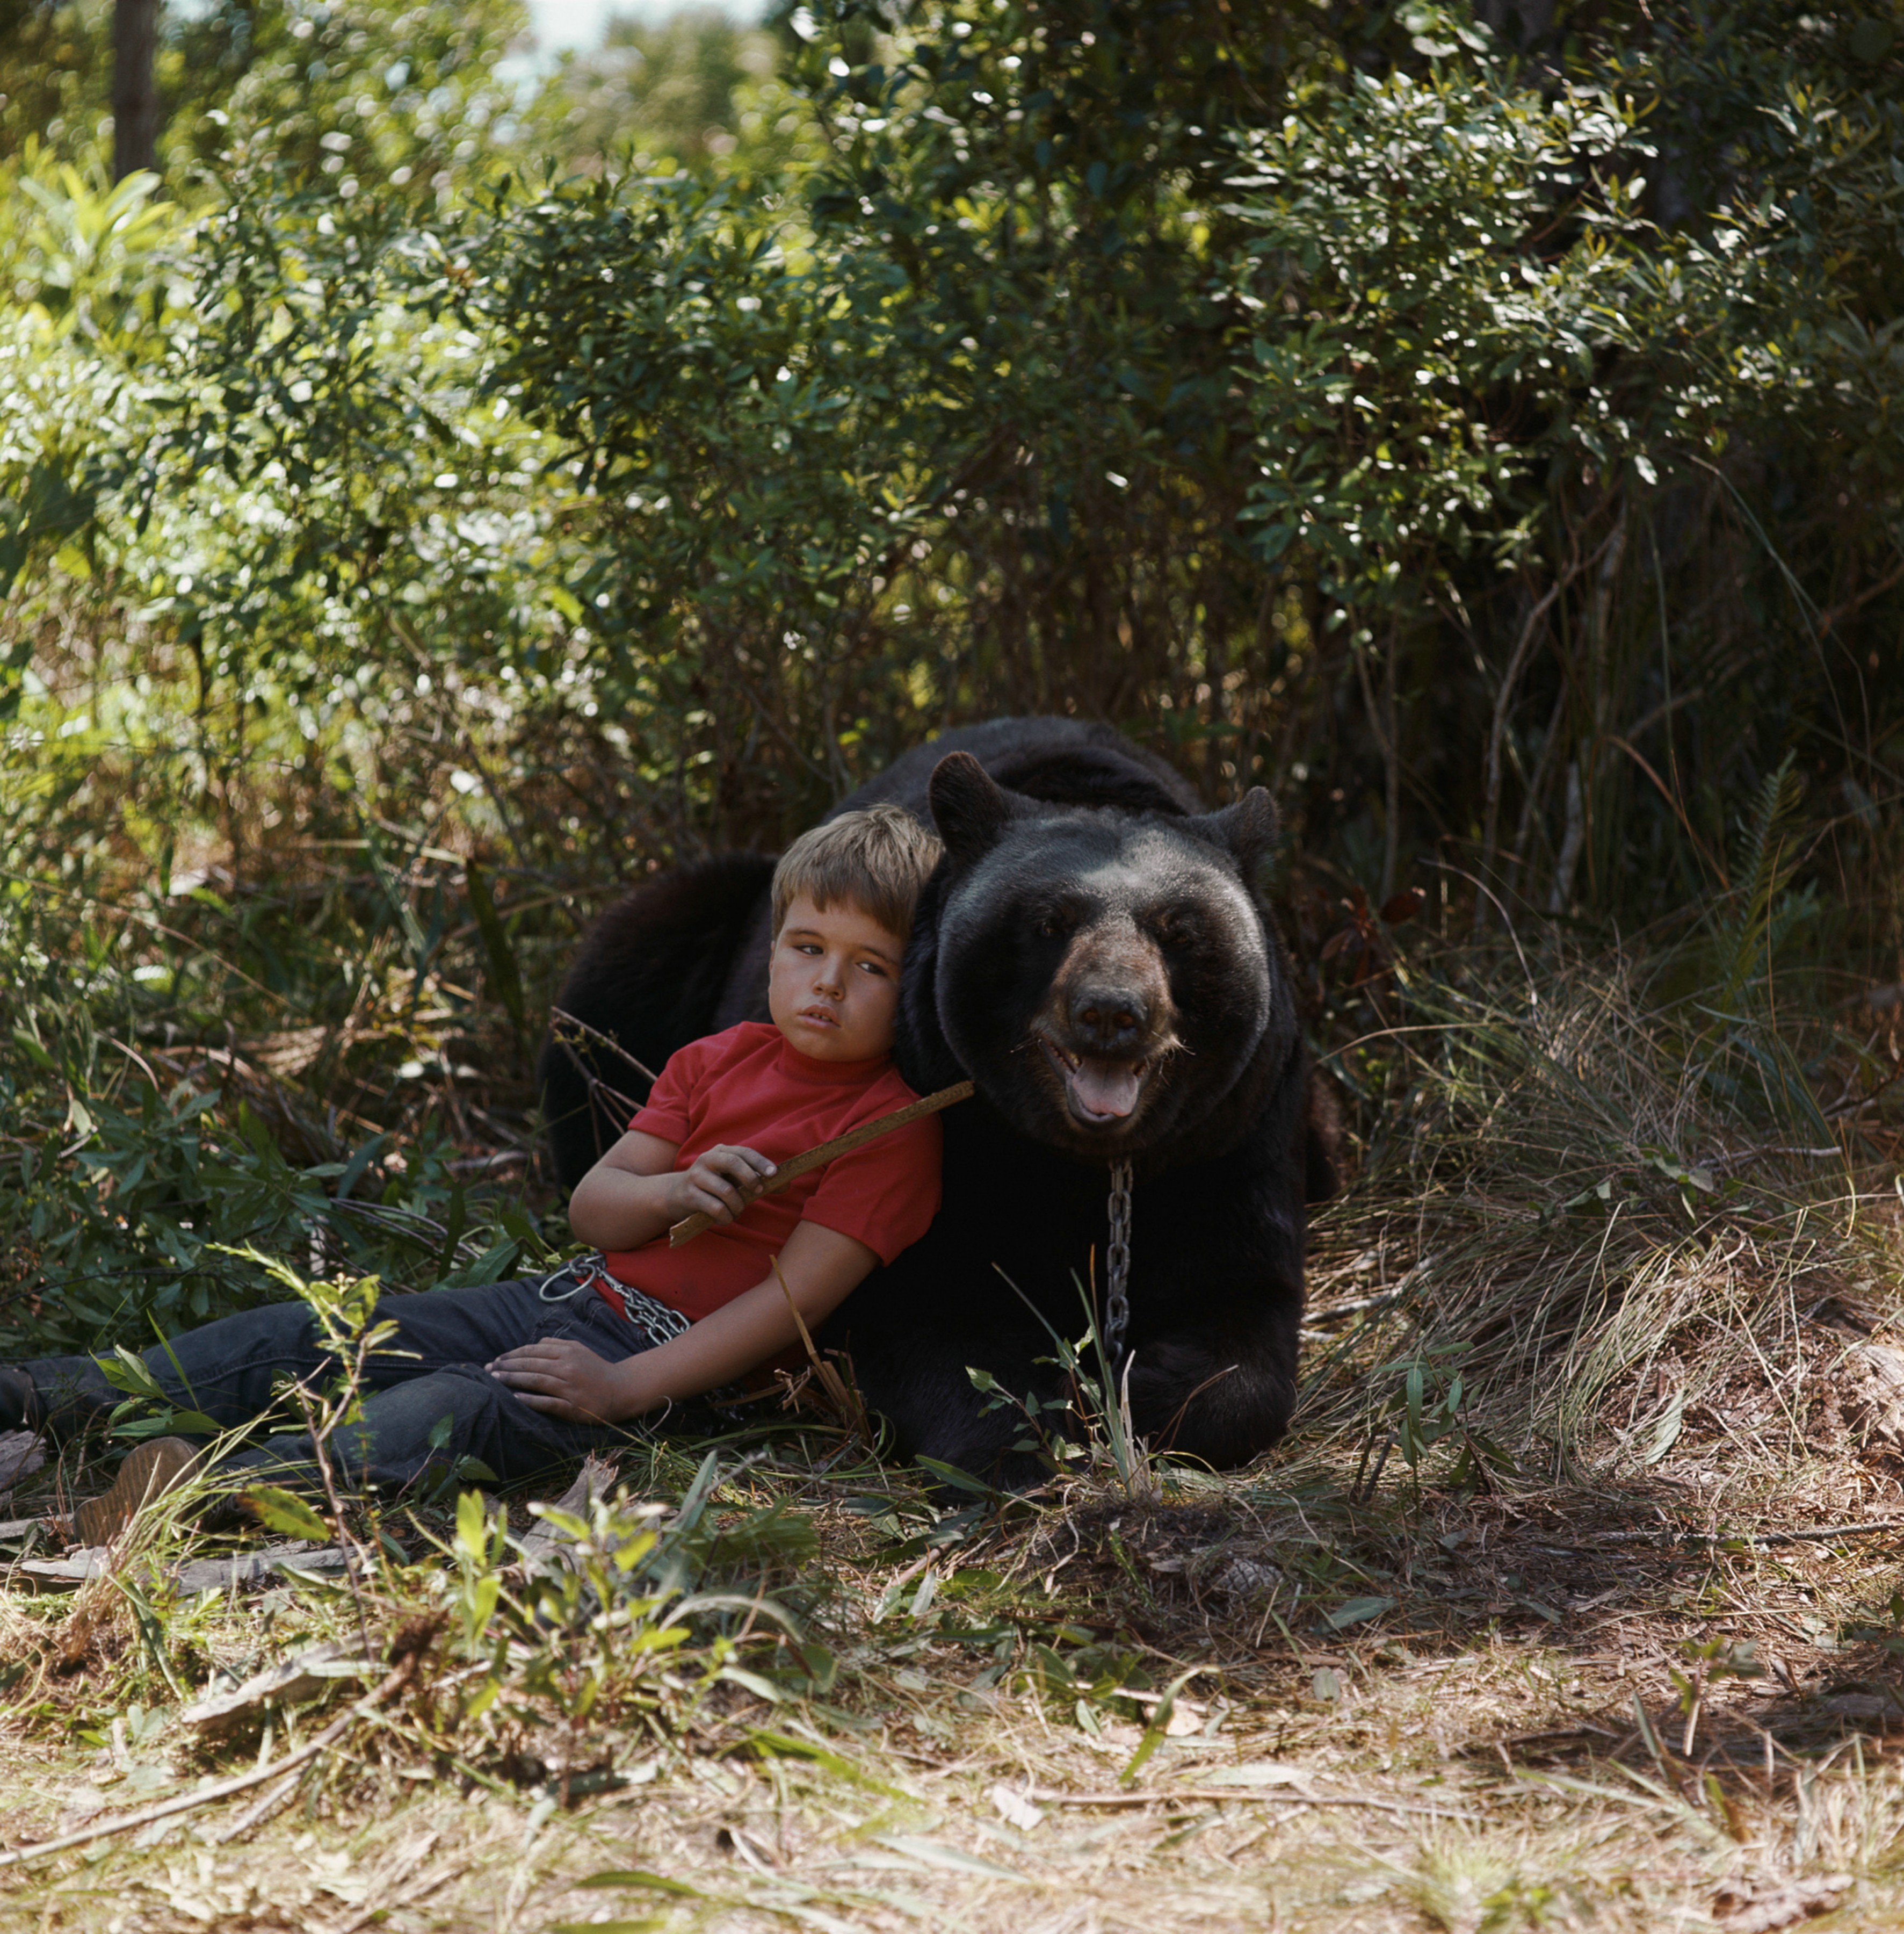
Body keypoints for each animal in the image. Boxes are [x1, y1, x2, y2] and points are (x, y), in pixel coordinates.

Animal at [541, 719, 1314, 1485]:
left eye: (1179, 932)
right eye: (1049, 922)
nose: (1111, 1011)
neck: (1085, 1159)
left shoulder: (1229, 1134)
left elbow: (1240, 1303)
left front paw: (1140, 1397)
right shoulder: (940, 1124)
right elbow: (926, 1305)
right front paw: (1016, 1441)